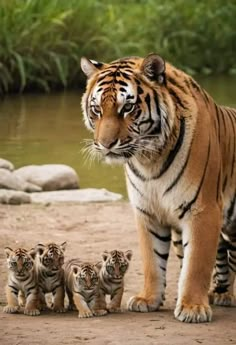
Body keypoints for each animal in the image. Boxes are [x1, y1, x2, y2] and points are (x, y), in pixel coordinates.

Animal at [80, 52, 235, 322]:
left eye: (127, 107)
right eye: (97, 109)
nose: (106, 144)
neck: (149, 159)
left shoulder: (203, 210)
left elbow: (196, 264)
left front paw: (193, 308)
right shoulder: (147, 212)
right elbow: (152, 261)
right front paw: (148, 299)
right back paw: (219, 294)